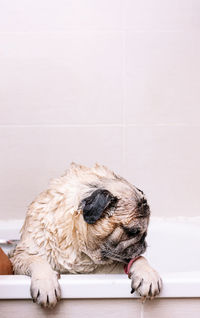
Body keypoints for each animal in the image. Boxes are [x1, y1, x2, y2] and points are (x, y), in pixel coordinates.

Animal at [10, 163, 162, 306]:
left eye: (145, 232)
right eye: (132, 232)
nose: (143, 243)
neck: (81, 250)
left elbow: (138, 260)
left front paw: (148, 274)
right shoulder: (20, 256)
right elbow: (37, 260)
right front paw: (46, 284)